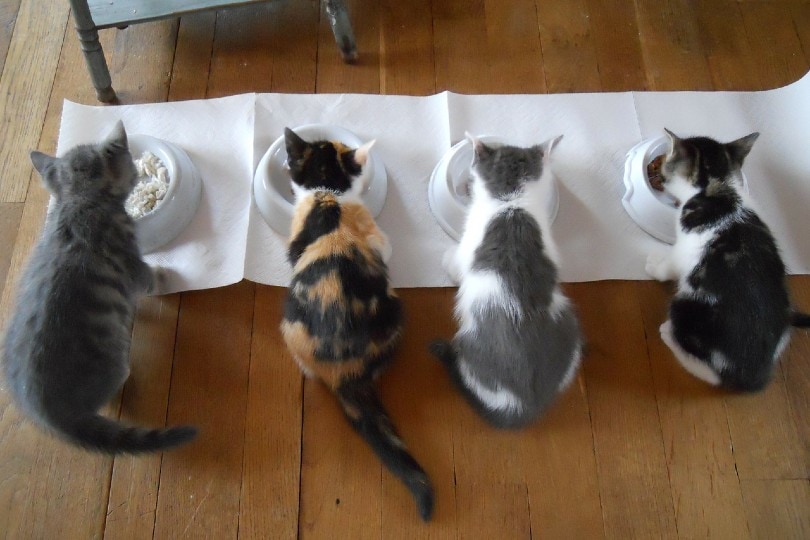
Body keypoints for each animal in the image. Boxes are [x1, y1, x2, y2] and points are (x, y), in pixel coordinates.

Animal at [2, 121, 197, 452]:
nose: (135, 172)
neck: (78, 199)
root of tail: (49, 414)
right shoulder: (130, 263)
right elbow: (150, 279)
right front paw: (170, 275)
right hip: (111, 362)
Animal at [280, 129, 436, 520]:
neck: (328, 194)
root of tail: (343, 373)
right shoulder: (378, 240)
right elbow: (386, 248)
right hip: (395, 311)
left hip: (289, 318)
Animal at [430, 133, 580, 428]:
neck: (512, 203)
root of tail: (528, 403)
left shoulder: (467, 246)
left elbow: (454, 264)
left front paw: (445, 260)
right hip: (571, 330)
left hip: (469, 344)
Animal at [644, 130, 808, 392]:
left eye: (669, 161)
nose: (660, 172)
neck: (719, 188)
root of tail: (751, 376)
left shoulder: (686, 247)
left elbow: (670, 264)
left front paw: (654, 266)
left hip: (685, 306)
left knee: (712, 374)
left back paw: (668, 333)